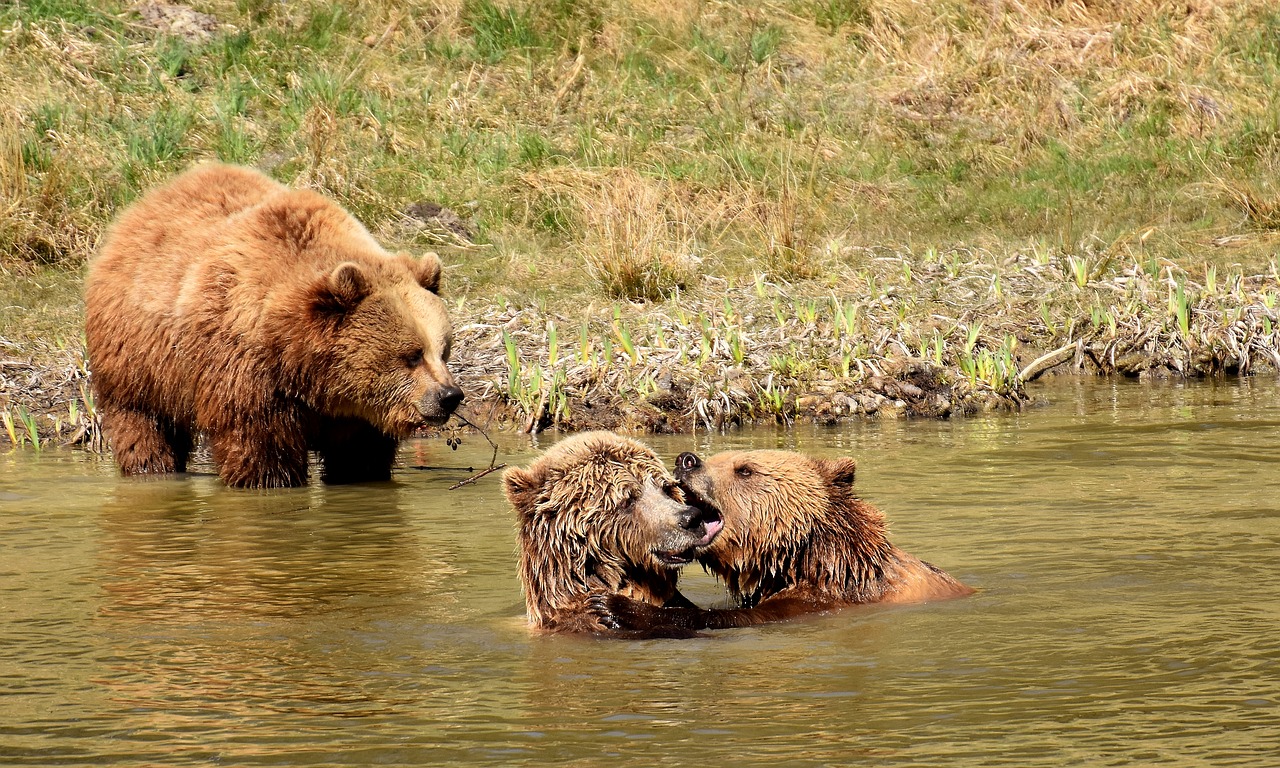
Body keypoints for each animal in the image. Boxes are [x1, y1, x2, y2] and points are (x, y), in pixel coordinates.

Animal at [81, 162, 460, 488]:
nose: (449, 396)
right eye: (411, 355)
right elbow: (261, 451)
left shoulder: (358, 413)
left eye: (443, 350)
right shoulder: (248, 375)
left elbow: (359, 457)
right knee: (144, 424)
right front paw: (269, 480)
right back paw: (152, 467)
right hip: (140, 361)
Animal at [593, 448, 972, 632]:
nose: (686, 460)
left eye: (744, 468)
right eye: (716, 458)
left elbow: (731, 617)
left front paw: (615, 607)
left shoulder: (819, 600)